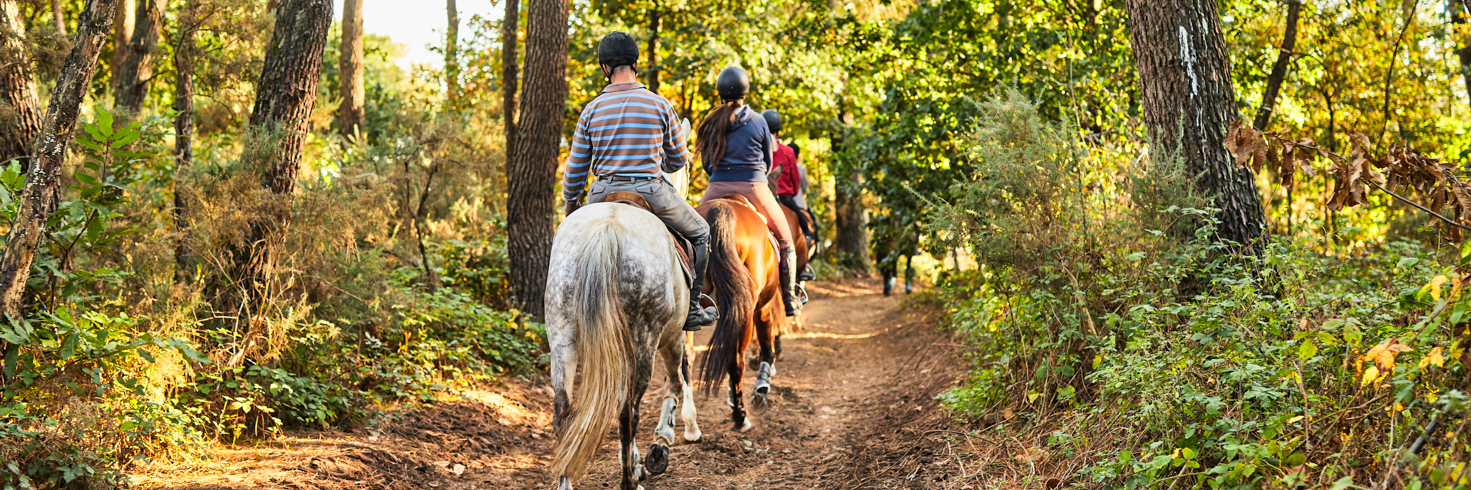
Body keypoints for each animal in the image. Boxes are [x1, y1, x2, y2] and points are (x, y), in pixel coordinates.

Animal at [697, 197, 788, 429]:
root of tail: (721, 208)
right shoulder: (763, 308)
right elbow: (766, 345)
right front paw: (761, 390)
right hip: (746, 310)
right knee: (736, 360)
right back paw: (741, 416)